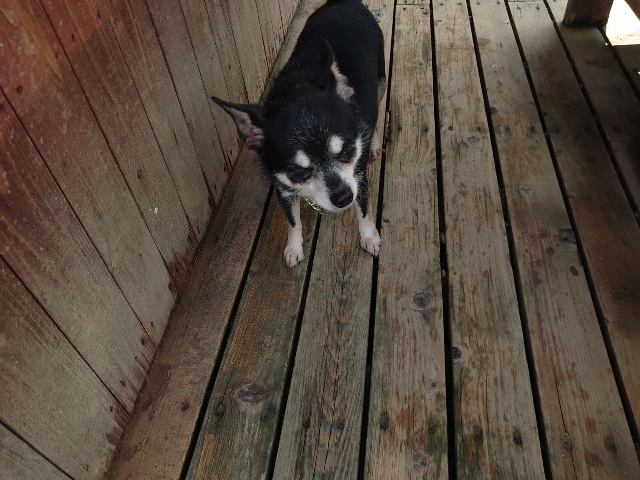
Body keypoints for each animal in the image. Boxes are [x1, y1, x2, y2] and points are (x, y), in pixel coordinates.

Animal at [213, 0, 385, 267]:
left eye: (348, 152)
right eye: (298, 172)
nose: (344, 198)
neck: (297, 91)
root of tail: (343, 2)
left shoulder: (358, 178)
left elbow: (364, 211)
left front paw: (369, 236)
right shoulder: (284, 189)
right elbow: (293, 221)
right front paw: (293, 247)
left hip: (380, 79)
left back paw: (374, 142)